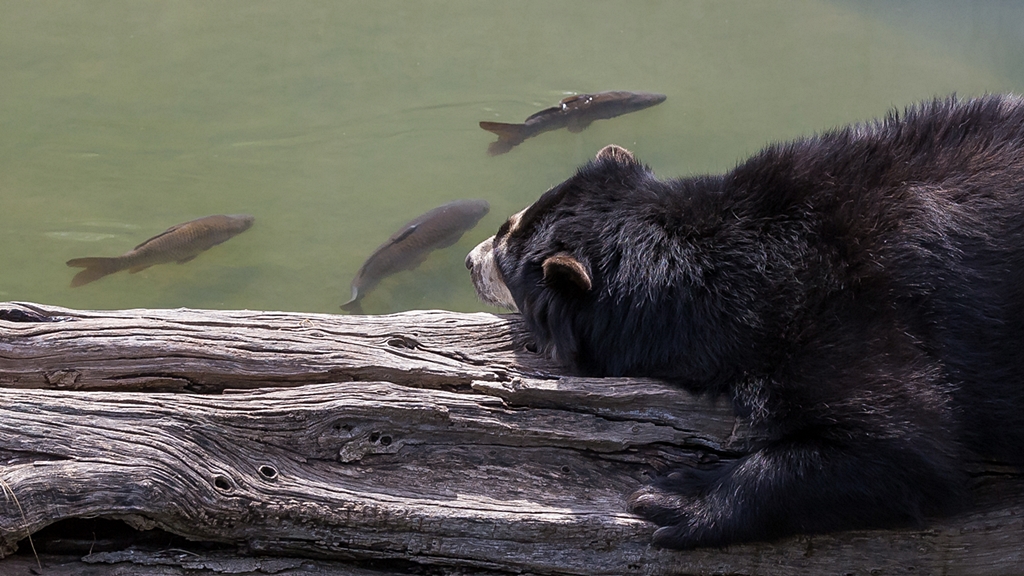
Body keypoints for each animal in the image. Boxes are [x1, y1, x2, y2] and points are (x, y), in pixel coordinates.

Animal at [466, 96, 1024, 549]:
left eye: (503, 243)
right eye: (506, 225)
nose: (471, 262)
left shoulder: (844, 310)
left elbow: (904, 447)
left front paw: (680, 496)